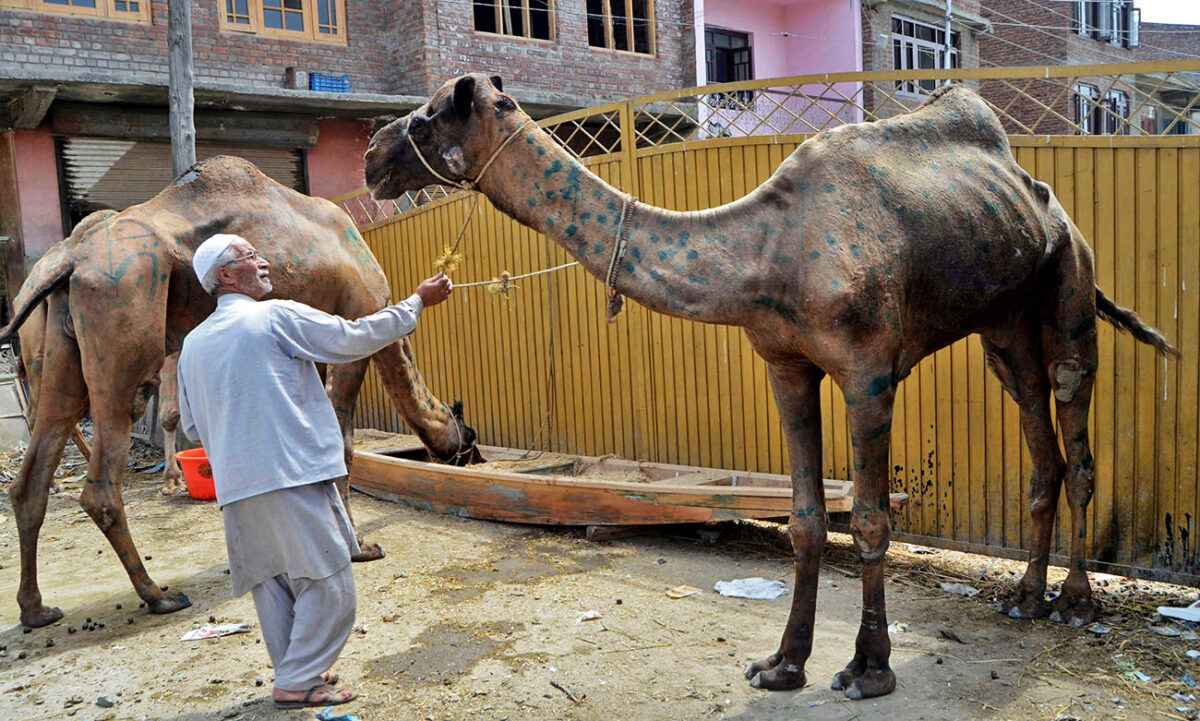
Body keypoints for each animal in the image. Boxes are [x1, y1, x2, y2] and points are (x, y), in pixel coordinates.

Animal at [1, 155, 482, 629]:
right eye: (469, 435)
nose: (473, 459)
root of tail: (71, 262)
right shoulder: (356, 315)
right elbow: (342, 445)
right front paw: (359, 547)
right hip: (123, 307)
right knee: (102, 482)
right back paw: (159, 596)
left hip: (60, 351)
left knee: (35, 471)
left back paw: (36, 608)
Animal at [363, 74, 1177, 699]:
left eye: (430, 114)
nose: (372, 155)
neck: (765, 252)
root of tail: (1048, 202)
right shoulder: (785, 364)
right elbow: (807, 519)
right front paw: (783, 663)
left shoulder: (868, 371)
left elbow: (871, 519)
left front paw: (867, 669)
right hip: (1002, 322)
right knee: (1038, 441)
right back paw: (1025, 598)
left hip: (1071, 282)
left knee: (1076, 427)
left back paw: (1074, 603)